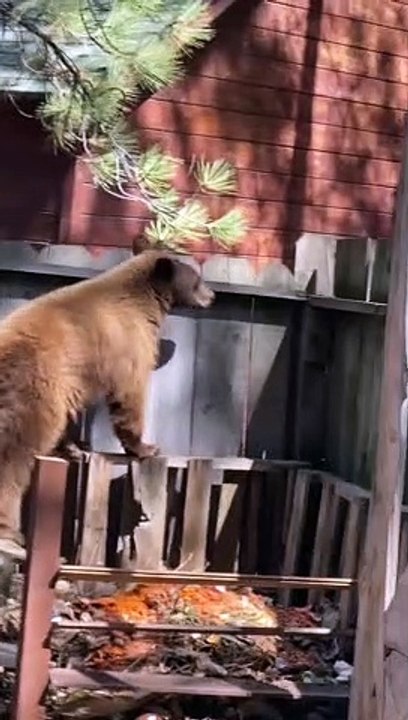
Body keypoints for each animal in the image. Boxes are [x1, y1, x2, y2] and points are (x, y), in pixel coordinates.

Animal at [0, 249, 215, 559]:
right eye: (197, 279)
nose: (212, 296)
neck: (144, 299)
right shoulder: (127, 342)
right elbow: (130, 392)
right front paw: (146, 447)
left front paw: (74, 447)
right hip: (34, 388)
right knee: (16, 454)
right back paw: (10, 533)